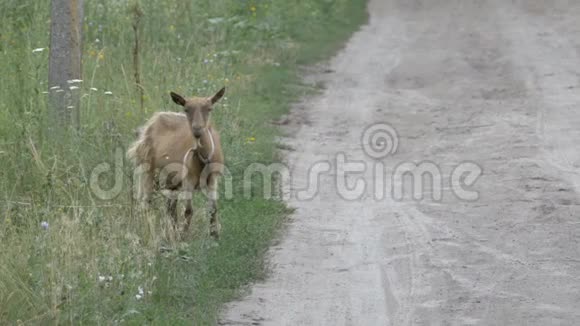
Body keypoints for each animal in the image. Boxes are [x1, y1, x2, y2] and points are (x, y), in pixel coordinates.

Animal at [127, 88, 227, 238]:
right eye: (186, 109)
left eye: (209, 108)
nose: (197, 129)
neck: (202, 160)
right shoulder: (188, 180)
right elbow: (189, 211)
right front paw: (182, 236)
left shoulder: (213, 179)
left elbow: (213, 209)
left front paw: (215, 237)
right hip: (148, 170)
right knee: (147, 203)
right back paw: (149, 232)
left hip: (171, 180)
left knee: (170, 207)